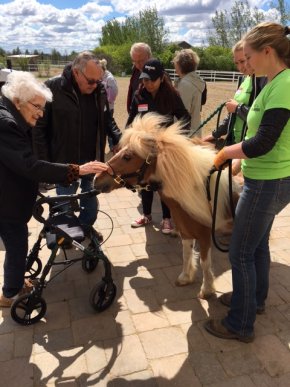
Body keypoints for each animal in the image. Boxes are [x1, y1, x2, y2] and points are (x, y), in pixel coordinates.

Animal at [93, 113, 238, 298]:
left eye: (127, 157)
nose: (96, 179)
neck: (197, 191)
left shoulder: (205, 236)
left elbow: (205, 262)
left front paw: (206, 290)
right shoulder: (186, 232)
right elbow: (186, 254)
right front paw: (185, 278)